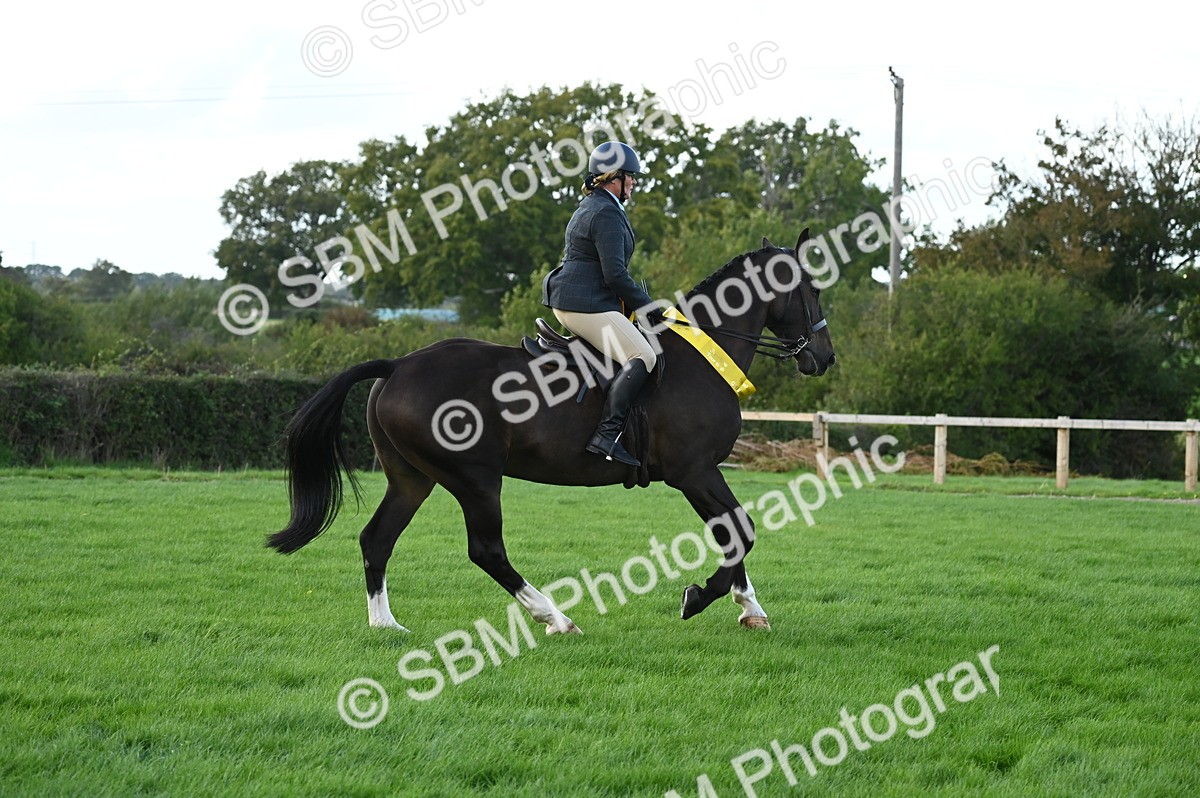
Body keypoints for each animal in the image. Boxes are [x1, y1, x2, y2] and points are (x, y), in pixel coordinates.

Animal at [267, 229, 835, 634]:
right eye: (811, 289)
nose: (824, 358)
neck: (704, 354)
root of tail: (398, 365)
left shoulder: (700, 473)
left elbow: (731, 530)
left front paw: (749, 608)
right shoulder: (692, 471)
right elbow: (740, 529)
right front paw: (699, 598)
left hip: (412, 478)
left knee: (377, 538)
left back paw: (386, 625)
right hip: (475, 478)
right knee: (486, 551)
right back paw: (555, 617)